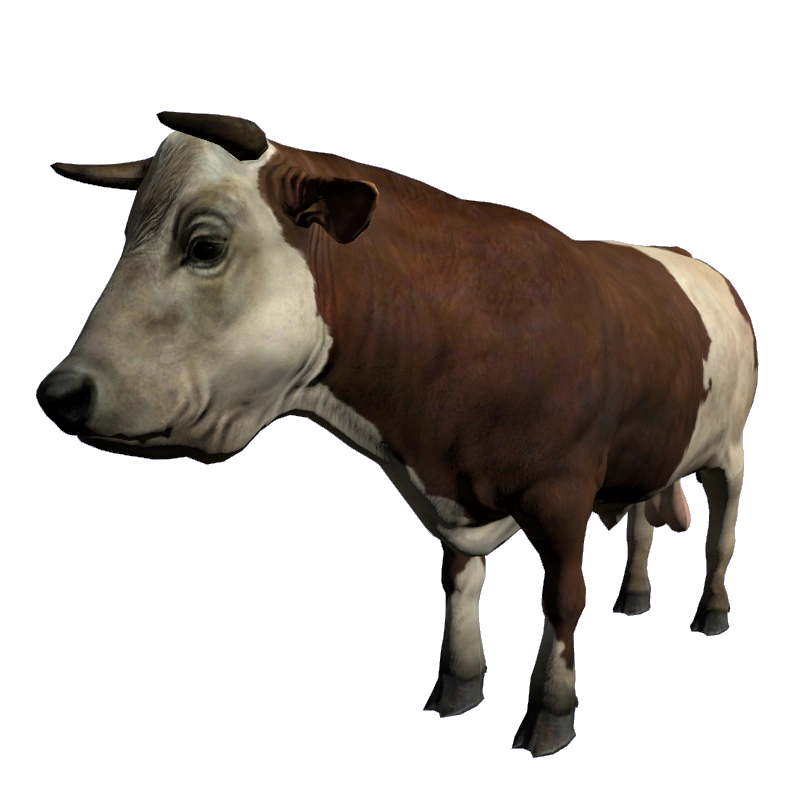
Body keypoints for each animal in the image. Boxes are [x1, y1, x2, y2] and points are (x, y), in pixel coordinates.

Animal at [38, 112, 758, 757]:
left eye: (205, 247)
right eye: (127, 233)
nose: (60, 393)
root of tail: (701, 266)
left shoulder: (562, 492)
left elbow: (560, 600)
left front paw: (549, 723)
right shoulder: (455, 497)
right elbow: (457, 588)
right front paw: (455, 695)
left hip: (730, 449)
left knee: (723, 528)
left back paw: (712, 615)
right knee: (640, 517)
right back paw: (634, 598)